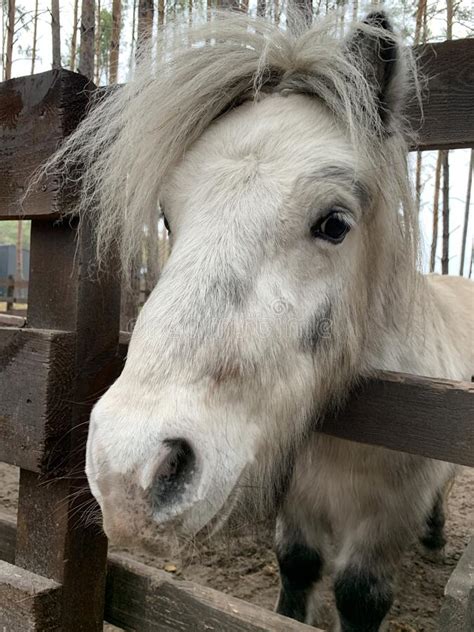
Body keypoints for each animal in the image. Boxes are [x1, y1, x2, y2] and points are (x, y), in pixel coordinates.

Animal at [42, 11, 472, 632]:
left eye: (335, 223)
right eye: (167, 218)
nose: (127, 473)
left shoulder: (385, 520)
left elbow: (360, 595)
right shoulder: (299, 506)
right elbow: (297, 569)